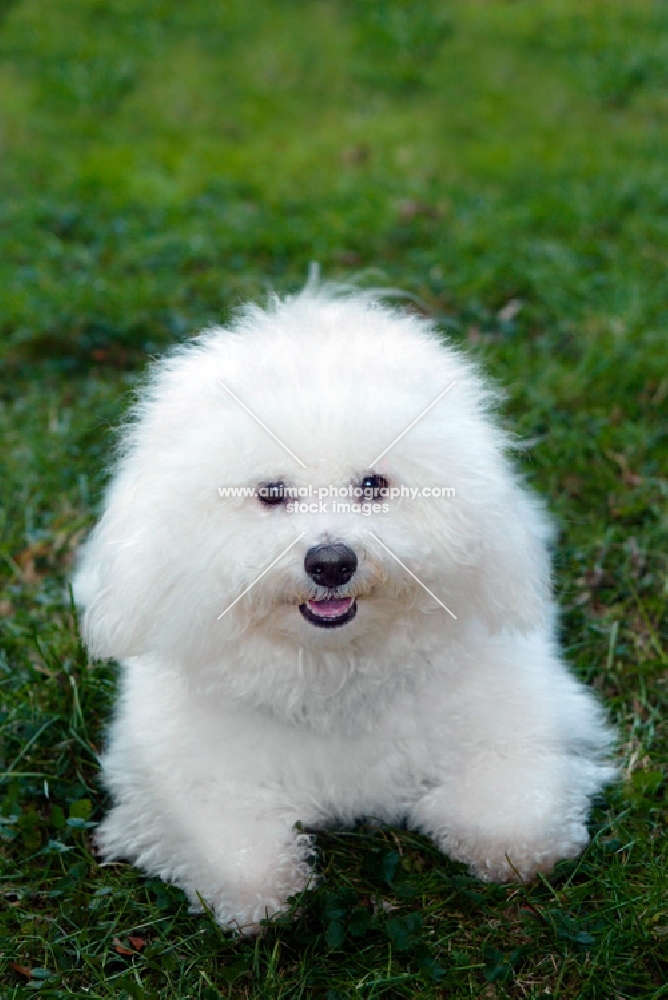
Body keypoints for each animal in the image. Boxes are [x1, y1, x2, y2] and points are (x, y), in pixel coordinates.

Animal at [74, 284, 616, 936]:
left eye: (374, 484)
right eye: (271, 492)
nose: (331, 563)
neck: (336, 670)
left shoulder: (520, 722)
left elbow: (518, 818)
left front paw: (508, 849)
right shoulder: (181, 773)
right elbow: (237, 856)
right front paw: (263, 897)